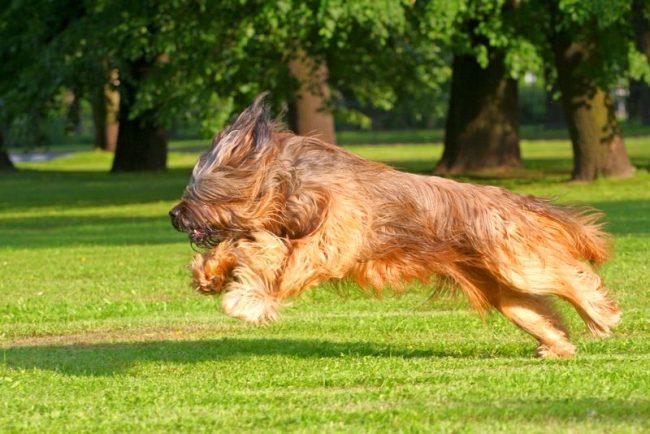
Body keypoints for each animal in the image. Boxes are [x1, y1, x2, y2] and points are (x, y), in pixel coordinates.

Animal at [171, 95, 616, 356]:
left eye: (196, 193)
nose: (173, 214)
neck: (290, 184)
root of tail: (507, 198)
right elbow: (243, 247)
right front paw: (210, 273)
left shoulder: (332, 239)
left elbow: (279, 259)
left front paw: (247, 297)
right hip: (501, 287)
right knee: (537, 310)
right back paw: (557, 345)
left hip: (518, 262)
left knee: (573, 275)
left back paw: (600, 315)